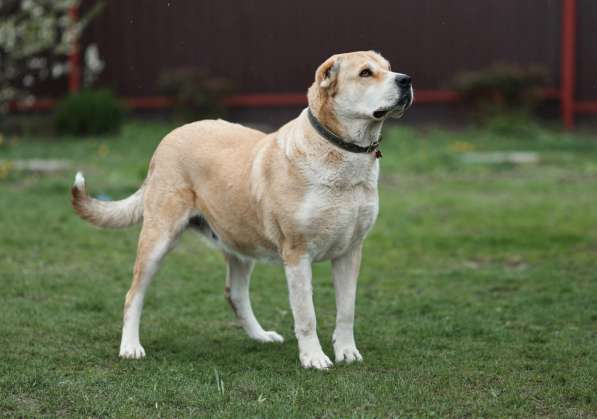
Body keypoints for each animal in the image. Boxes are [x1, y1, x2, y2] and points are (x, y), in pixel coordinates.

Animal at [72, 50, 412, 370]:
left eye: (388, 67)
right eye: (365, 73)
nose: (406, 80)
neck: (342, 153)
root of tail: (170, 136)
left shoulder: (350, 251)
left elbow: (347, 310)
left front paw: (347, 352)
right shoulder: (297, 254)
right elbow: (307, 315)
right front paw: (314, 359)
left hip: (241, 241)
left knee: (234, 293)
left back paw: (260, 336)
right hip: (159, 238)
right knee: (133, 294)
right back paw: (130, 347)